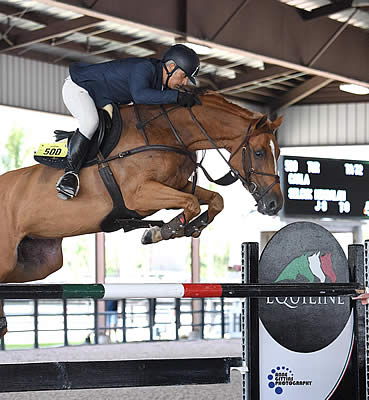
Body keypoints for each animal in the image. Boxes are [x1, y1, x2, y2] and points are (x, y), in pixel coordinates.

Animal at [0, 91, 284, 338]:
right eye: (259, 152)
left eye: (279, 152)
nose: (274, 204)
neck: (171, 132)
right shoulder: (140, 195)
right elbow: (192, 203)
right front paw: (160, 232)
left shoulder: (177, 185)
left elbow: (215, 199)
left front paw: (191, 227)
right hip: (10, 258)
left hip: (40, 261)